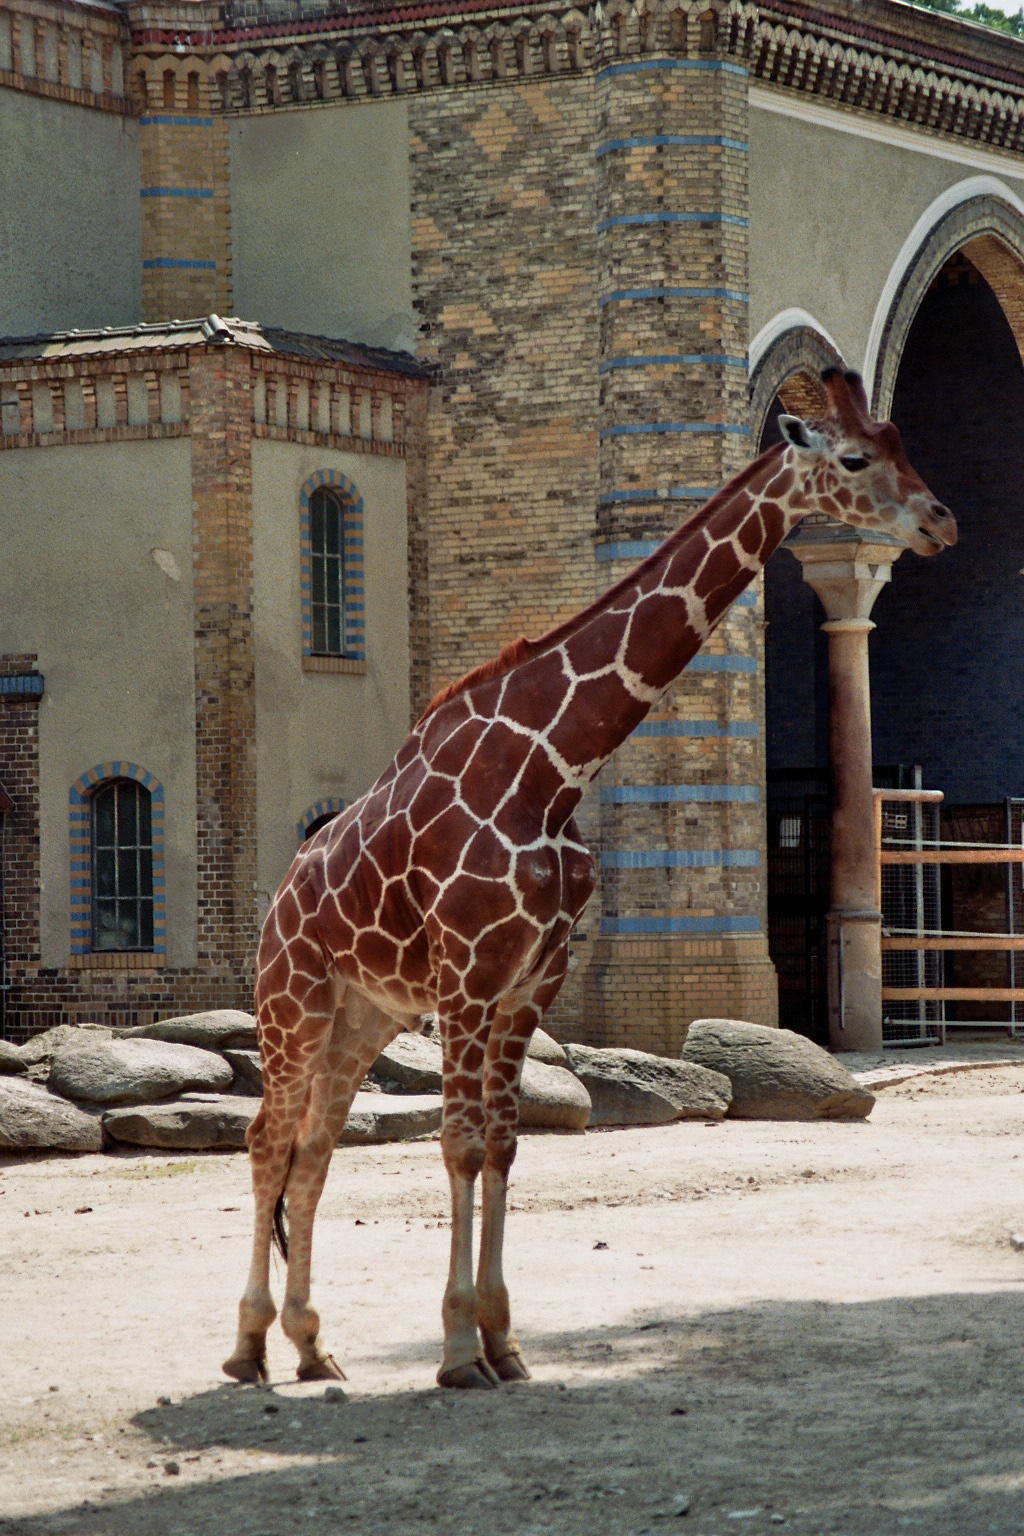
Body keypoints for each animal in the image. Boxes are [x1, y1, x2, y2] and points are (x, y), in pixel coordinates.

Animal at [223, 368, 956, 1390]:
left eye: (899, 443)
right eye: (854, 459)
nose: (939, 521)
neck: (554, 766)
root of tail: (281, 898)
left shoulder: (533, 980)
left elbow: (501, 1144)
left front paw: (504, 1343)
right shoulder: (468, 978)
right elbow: (458, 1142)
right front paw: (457, 1353)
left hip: (359, 1017)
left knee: (315, 1148)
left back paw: (311, 1344)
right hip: (292, 1002)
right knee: (265, 1140)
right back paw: (246, 1347)